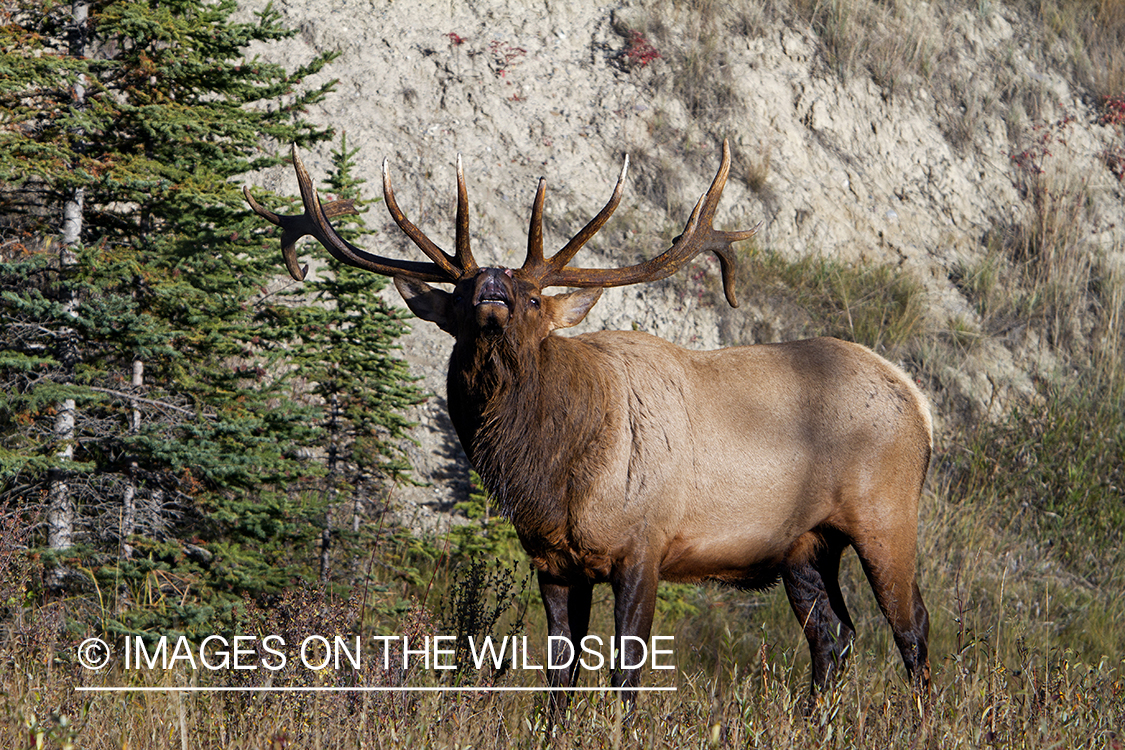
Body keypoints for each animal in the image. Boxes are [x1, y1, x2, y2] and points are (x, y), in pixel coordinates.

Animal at [246, 139, 931, 715]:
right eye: (462, 297)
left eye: (530, 298)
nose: (491, 287)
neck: (555, 479)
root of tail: (920, 403)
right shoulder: (552, 559)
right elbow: (559, 674)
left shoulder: (645, 544)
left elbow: (626, 671)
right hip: (804, 545)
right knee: (833, 637)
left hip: (885, 515)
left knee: (911, 627)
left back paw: (917, 719)